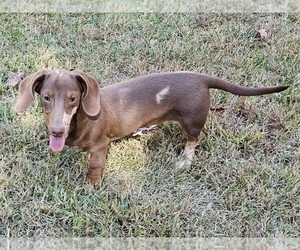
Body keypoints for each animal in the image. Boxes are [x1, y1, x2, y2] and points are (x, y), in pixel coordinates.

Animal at [14, 69, 288, 185]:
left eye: (73, 98)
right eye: (46, 97)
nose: (57, 131)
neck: (79, 120)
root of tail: (199, 78)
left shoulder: (100, 146)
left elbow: (94, 167)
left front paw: (90, 185)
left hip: (192, 120)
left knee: (193, 140)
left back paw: (184, 161)